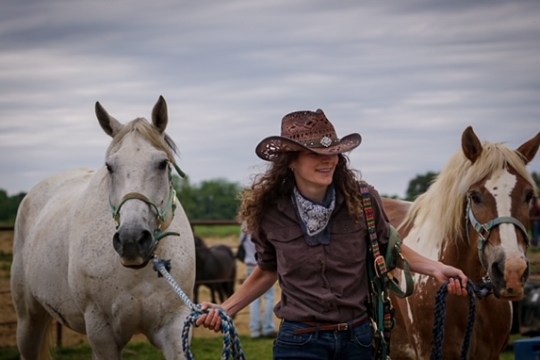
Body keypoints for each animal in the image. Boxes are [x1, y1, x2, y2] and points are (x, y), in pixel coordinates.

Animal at [10, 96, 195, 360]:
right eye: (109, 166)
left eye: (162, 163)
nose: (132, 240)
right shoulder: (102, 333)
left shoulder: (175, 327)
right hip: (29, 321)